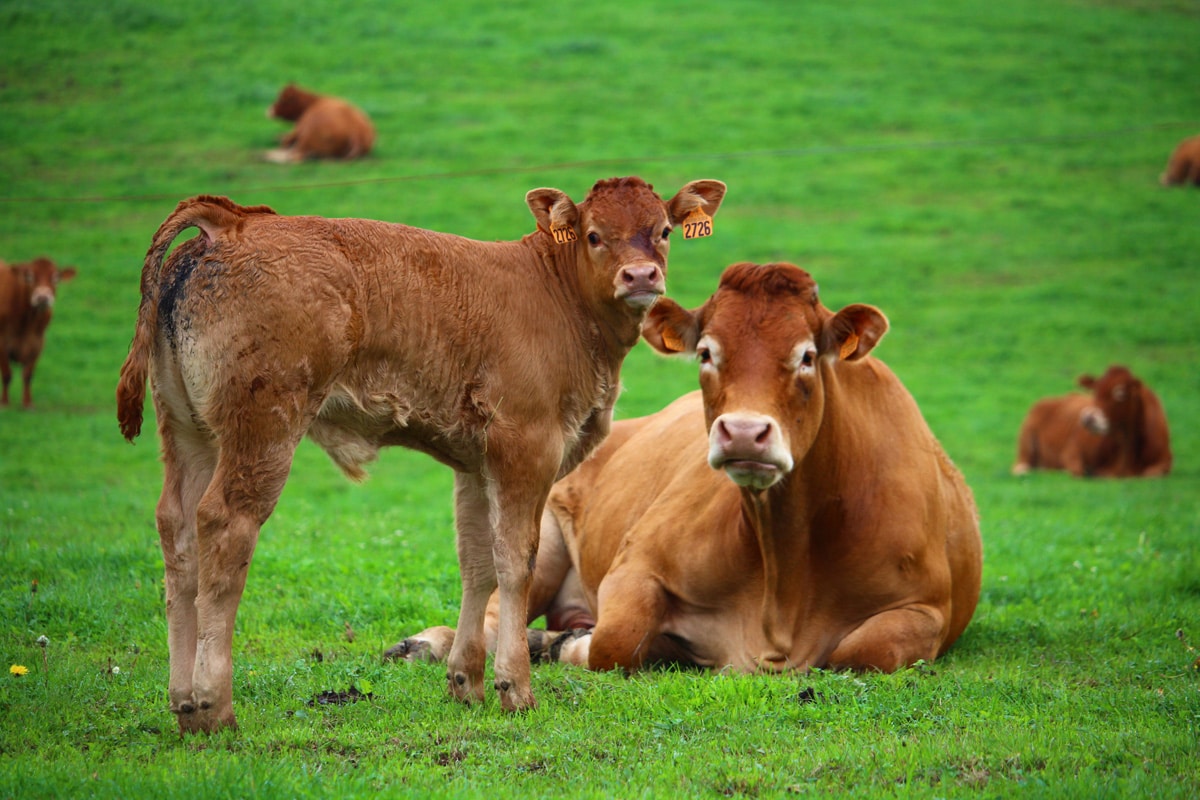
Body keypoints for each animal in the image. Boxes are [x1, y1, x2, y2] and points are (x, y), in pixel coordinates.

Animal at [0, 256, 77, 407]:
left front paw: (28, 403)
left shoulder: (38, 343)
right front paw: (5, 402)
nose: (42, 297)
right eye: (30, 277)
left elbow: (28, 375)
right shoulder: (2, 342)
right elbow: (7, 374)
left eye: (56, 277)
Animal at [393, 266, 984, 681]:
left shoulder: (925, 608)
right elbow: (613, 641)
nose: (744, 432)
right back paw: (430, 643)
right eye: (705, 352)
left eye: (807, 356)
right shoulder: (637, 564)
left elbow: (864, 651)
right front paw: (567, 646)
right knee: (498, 613)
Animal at [1012, 367, 1171, 479]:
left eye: (1120, 394)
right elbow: (1079, 470)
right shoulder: (1072, 451)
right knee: (1021, 467)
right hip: (1026, 444)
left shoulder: (1165, 462)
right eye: (1095, 391)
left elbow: (1152, 473)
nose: (1089, 418)